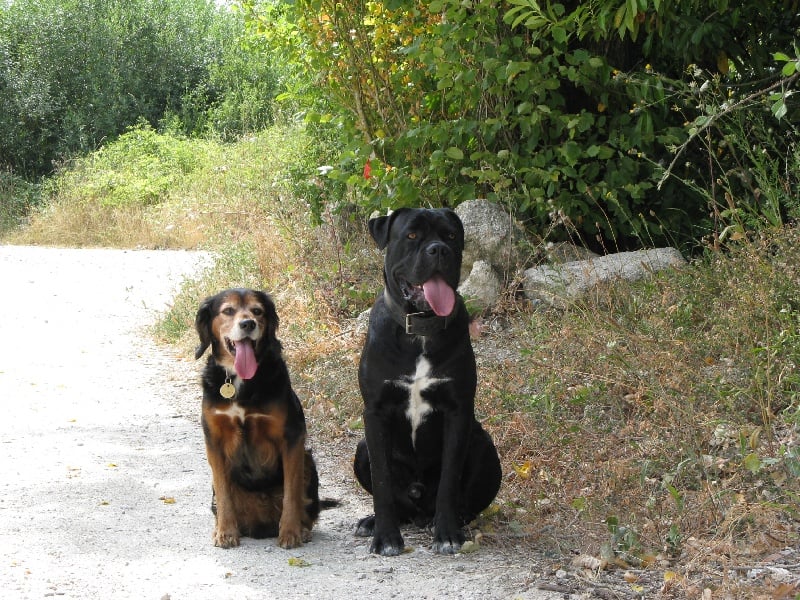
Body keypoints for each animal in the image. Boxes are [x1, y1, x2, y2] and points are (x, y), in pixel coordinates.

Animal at [195, 288, 320, 549]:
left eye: (257, 311)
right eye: (228, 310)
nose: (248, 323)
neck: (240, 381)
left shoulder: (292, 438)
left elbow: (292, 492)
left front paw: (290, 532)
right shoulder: (214, 441)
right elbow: (223, 492)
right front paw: (225, 531)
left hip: (307, 459)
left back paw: (302, 528)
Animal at [353, 208, 502, 556]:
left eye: (450, 236)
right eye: (411, 235)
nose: (438, 250)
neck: (419, 329)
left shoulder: (457, 411)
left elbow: (449, 479)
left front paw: (447, 534)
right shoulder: (375, 412)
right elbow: (382, 480)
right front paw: (386, 537)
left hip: (485, 446)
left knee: (463, 502)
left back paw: (449, 521)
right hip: (361, 447)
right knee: (398, 503)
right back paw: (373, 522)